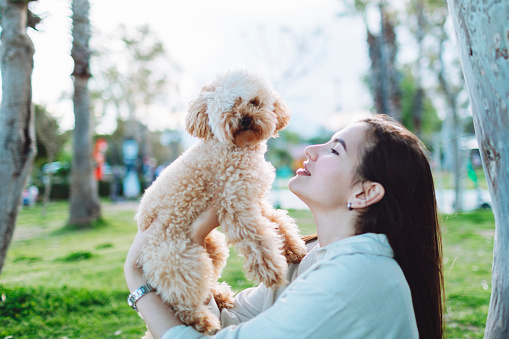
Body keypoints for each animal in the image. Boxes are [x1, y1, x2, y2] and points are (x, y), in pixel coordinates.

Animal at [135, 69, 306, 334]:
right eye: (229, 106)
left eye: (254, 102)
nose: (244, 119)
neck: (237, 148)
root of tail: (145, 261)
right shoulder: (235, 205)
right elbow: (258, 239)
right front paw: (274, 272)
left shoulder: (253, 199)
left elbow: (276, 221)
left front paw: (293, 249)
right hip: (179, 259)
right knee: (180, 299)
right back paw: (203, 320)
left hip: (212, 247)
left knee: (202, 284)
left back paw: (219, 295)